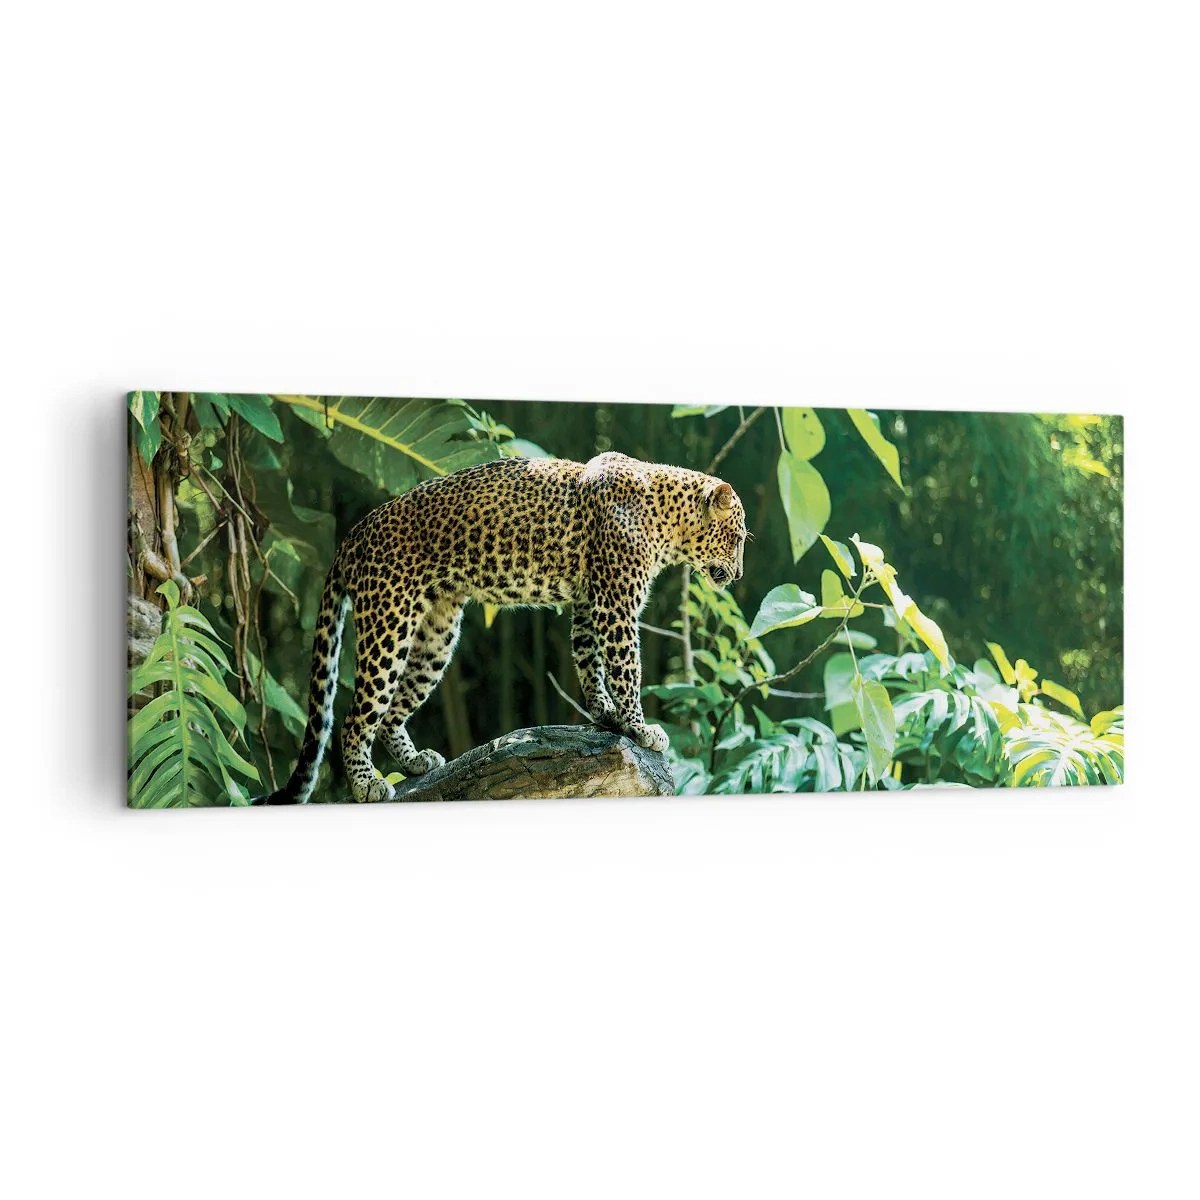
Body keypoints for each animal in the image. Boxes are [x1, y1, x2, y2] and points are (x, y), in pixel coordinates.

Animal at [258, 451, 747, 803]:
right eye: (737, 539)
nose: (740, 574)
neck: (667, 518)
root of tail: (353, 535)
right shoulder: (616, 607)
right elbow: (627, 669)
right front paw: (640, 728)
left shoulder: (589, 604)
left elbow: (589, 662)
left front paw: (606, 716)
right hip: (388, 624)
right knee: (356, 717)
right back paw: (366, 784)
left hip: (437, 635)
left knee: (393, 710)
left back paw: (415, 762)